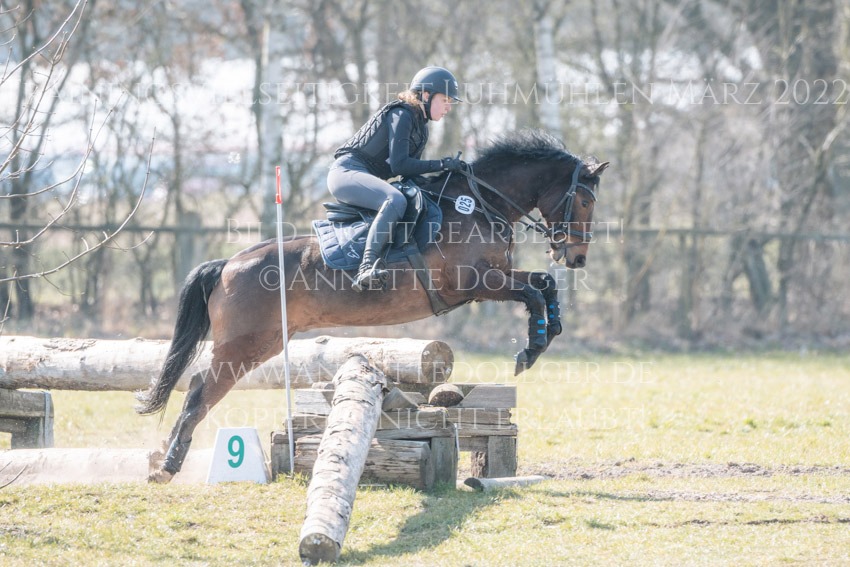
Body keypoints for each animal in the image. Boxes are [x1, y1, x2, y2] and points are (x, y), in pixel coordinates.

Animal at [137, 130, 608, 482]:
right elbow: (535, 292)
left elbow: (543, 285)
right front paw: (532, 347)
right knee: (201, 391)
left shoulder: (494, 279)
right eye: (585, 201)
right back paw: (167, 465)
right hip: (246, 345)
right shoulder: (475, 283)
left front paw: (546, 333)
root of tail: (228, 264)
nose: (577, 258)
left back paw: (161, 456)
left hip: (260, 343)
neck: (479, 206)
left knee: (198, 386)